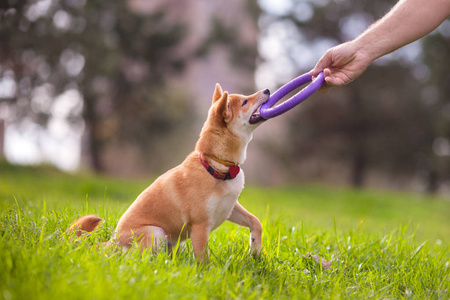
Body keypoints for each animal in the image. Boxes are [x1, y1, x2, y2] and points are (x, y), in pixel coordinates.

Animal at [68, 83, 268, 262]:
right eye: (244, 102)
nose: (267, 90)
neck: (215, 165)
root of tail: (111, 243)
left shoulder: (230, 207)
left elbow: (255, 221)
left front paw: (255, 249)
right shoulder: (200, 226)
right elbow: (203, 259)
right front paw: (206, 274)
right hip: (155, 233)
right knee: (137, 259)